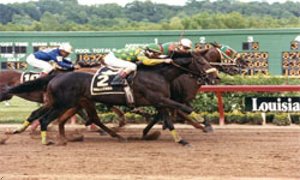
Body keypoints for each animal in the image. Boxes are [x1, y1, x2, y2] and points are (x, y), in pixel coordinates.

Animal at [8, 52, 219, 146]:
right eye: (202, 61)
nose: (215, 77)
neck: (159, 74)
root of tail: (55, 76)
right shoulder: (160, 99)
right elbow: (185, 109)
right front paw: (205, 122)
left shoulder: (160, 102)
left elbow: (169, 118)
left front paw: (179, 139)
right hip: (63, 103)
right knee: (45, 119)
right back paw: (47, 141)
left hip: (61, 102)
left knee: (40, 115)